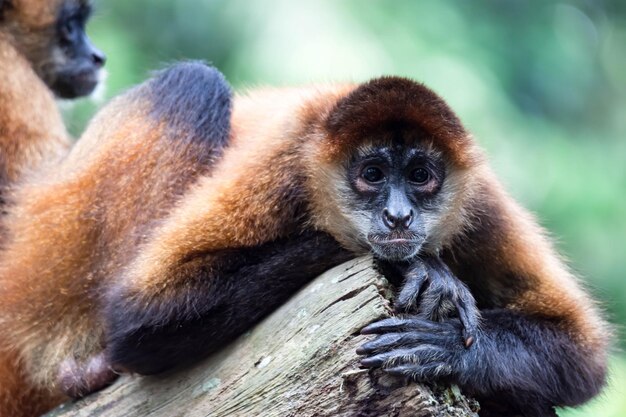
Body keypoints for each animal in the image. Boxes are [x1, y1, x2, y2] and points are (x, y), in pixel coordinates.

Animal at [0, 66, 608, 416]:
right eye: (371, 174)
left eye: (420, 175)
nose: (398, 217)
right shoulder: (286, 157)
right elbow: (138, 324)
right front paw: (425, 271)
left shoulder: (477, 200)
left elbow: (582, 358)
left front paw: (440, 347)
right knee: (194, 80)